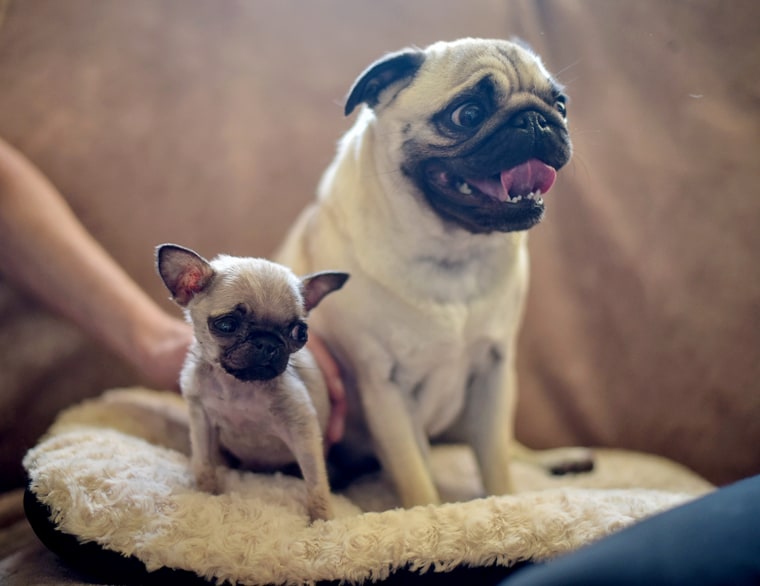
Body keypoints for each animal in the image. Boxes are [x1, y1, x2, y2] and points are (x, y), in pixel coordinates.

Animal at [157, 242, 348, 520]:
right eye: (227, 325)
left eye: (300, 333)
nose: (267, 343)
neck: (238, 387)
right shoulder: (202, 422)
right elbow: (203, 463)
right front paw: (207, 492)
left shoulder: (304, 434)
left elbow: (316, 482)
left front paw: (321, 519)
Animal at [276, 38, 592, 508]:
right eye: (469, 114)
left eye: (561, 105)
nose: (536, 119)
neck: (452, 249)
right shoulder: (385, 389)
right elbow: (415, 474)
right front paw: (430, 513)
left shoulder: (494, 373)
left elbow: (496, 460)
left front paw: (505, 500)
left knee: (511, 448)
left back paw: (560, 459)